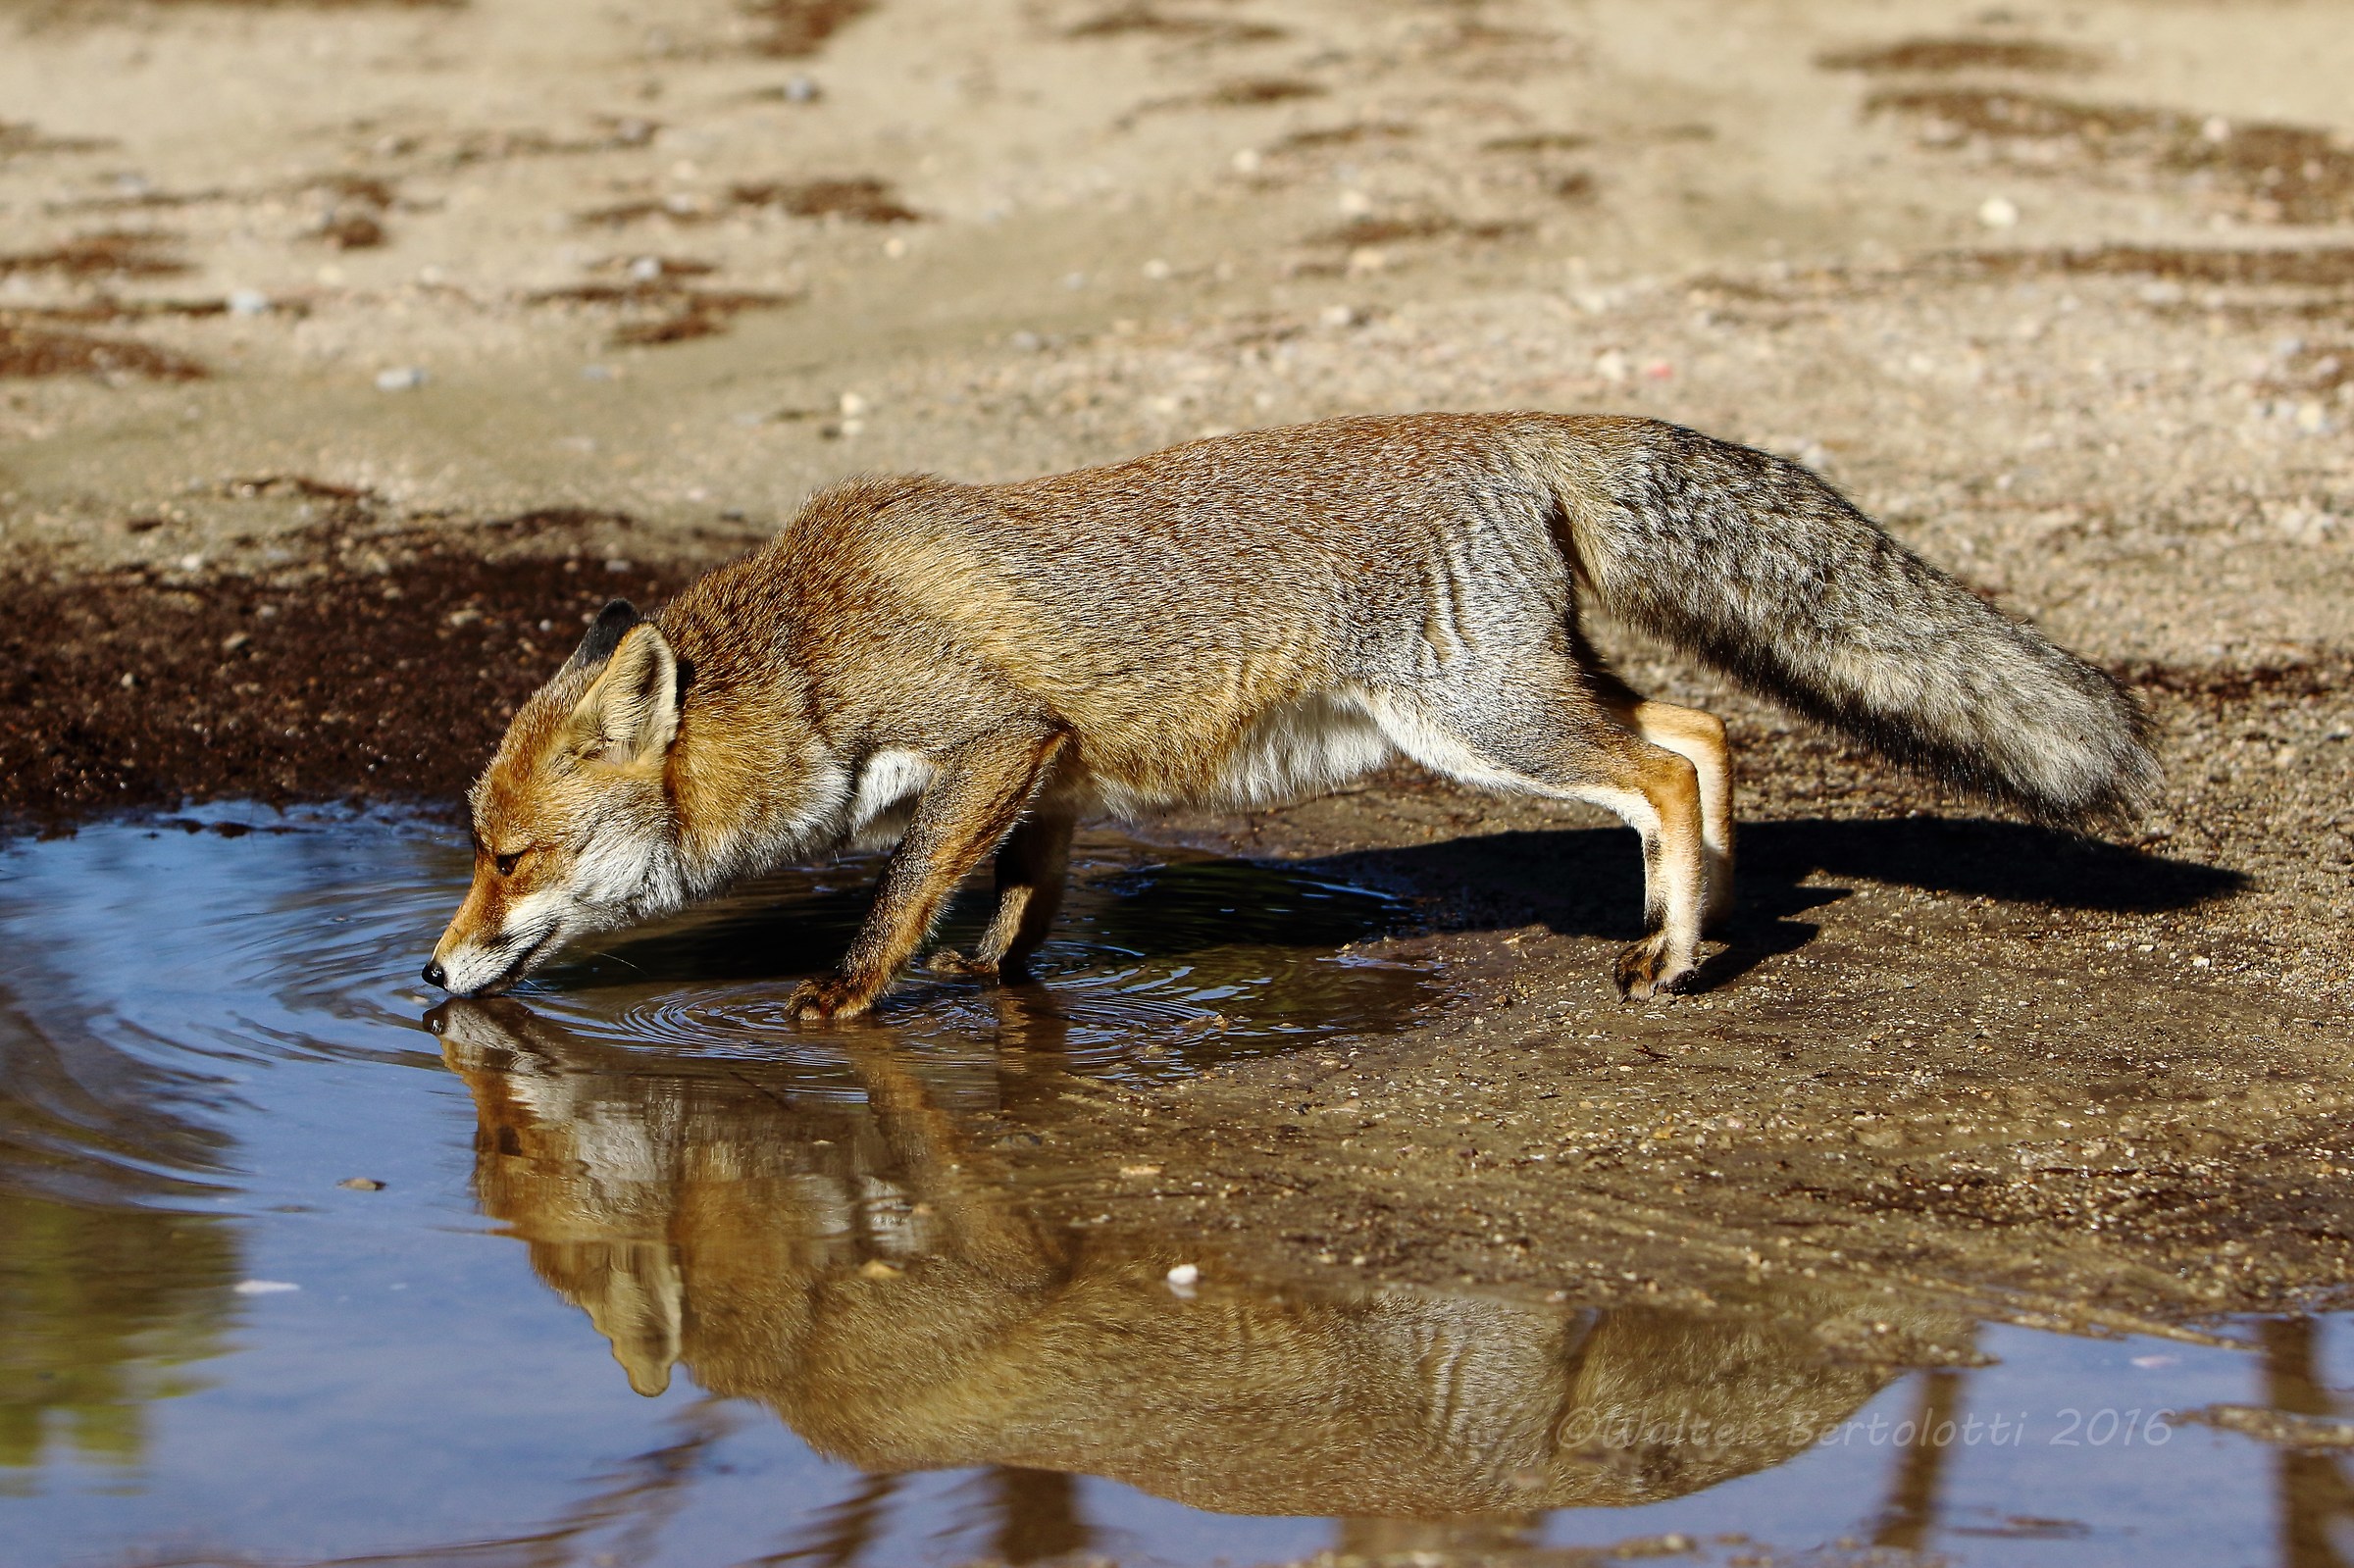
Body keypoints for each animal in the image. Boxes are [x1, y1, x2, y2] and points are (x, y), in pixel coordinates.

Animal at [424, 412, 2158, 1015]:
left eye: (509, 856)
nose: (427, 969)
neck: (808, 650)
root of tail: (1515, 422)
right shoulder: (1055, 772)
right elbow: (1012, 918)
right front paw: (997, 993)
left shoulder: (993, 742)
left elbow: (896, 903)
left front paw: (837, 1008)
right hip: (1530, 697)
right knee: (1704, 733)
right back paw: (1703, 919)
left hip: (1481, 724)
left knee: (1666, 771)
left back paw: (1672, 954)